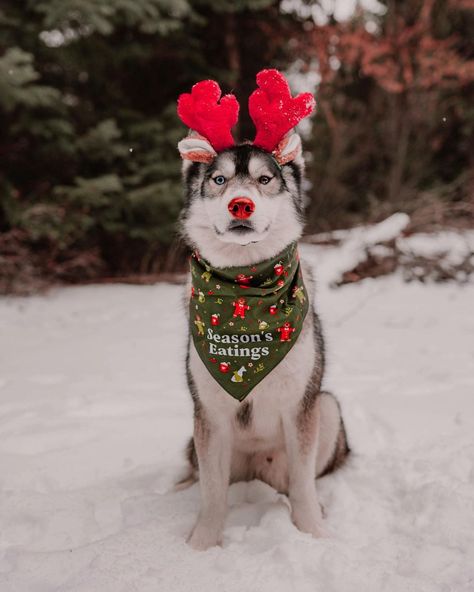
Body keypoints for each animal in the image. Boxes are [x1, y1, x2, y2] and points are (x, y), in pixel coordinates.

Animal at [174, 70, 348, 552]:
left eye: (265, 179)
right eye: (218, 180)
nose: (241, 204)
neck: (245, 297)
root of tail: (255, 473)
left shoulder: (300, 404)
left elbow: (304, 485)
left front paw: (313, 533)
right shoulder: (208, 414)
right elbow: (212, 492)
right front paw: (200, 546)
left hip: (327, 407)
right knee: (200, 475)